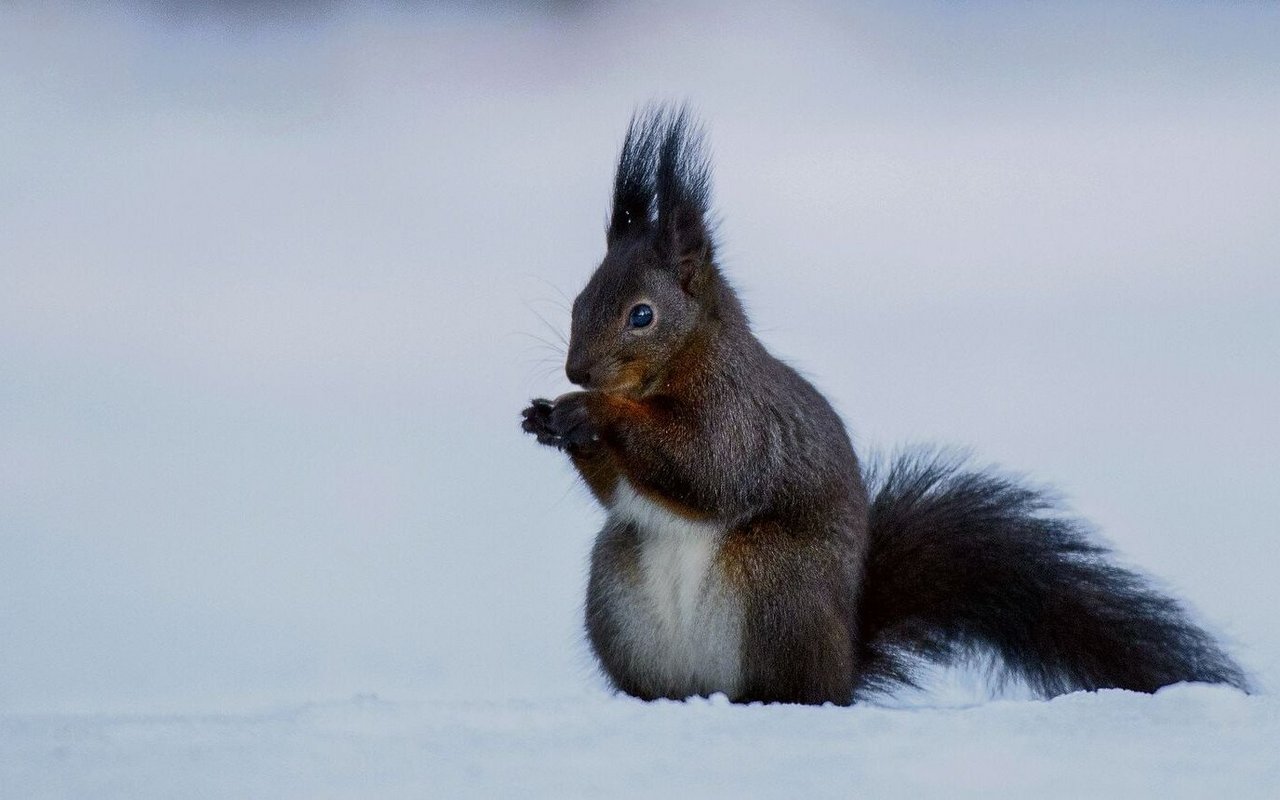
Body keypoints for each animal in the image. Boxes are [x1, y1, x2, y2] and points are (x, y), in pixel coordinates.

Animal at [517, 106, 1239, 706]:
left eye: (642, 315)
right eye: (579, 300)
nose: (577, 371)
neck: (679, 364)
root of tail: (843, 668)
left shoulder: (739, 413)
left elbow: (709, 468)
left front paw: (591, 413)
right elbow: (622, 492)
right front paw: (546, 419)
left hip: (779, 586)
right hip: (617, 589)